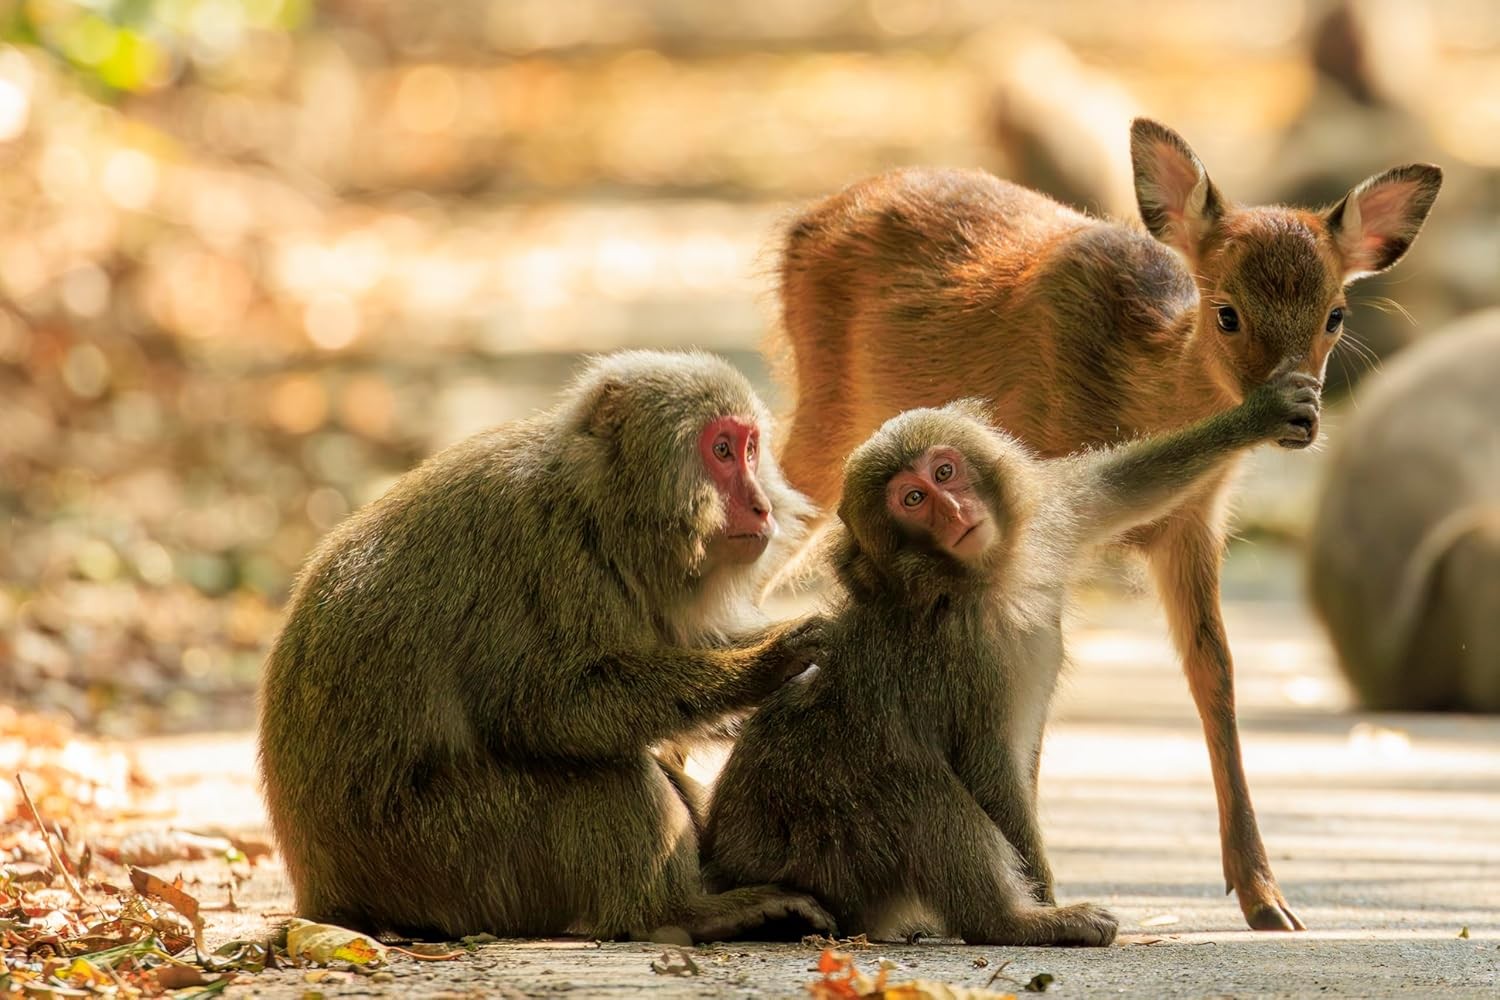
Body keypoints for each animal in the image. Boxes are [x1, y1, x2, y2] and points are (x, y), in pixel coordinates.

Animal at [258, 349, 838, 943]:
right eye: (721, 450)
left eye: (751, 449)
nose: (763, 506)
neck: (596, 507)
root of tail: (323, 890)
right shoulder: (544, 552)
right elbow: (539, 708)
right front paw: (765, 666)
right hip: (443, 855)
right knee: (605, 770)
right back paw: (676, 914)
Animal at [702, 370, 1322, 946]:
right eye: (913, 501)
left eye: (944, 473)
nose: (955, 512)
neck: (980, 582)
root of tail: (724, 864)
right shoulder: (963, 660)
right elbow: (987, 765)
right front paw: (1043, 902)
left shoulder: (1050, 522)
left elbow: (1123, 487)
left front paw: (1263, 413)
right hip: (822, 852)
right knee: (911, 779)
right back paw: (1015, 923)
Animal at [769, 118, 1441, 931]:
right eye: (1226, 310)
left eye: (1335, 315)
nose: (1303, 418)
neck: (1137, 386)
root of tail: (805, 221)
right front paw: (1039, 882)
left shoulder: (1191, 525)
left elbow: (1215, 673)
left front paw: (1265, 896)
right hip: (822, 418)